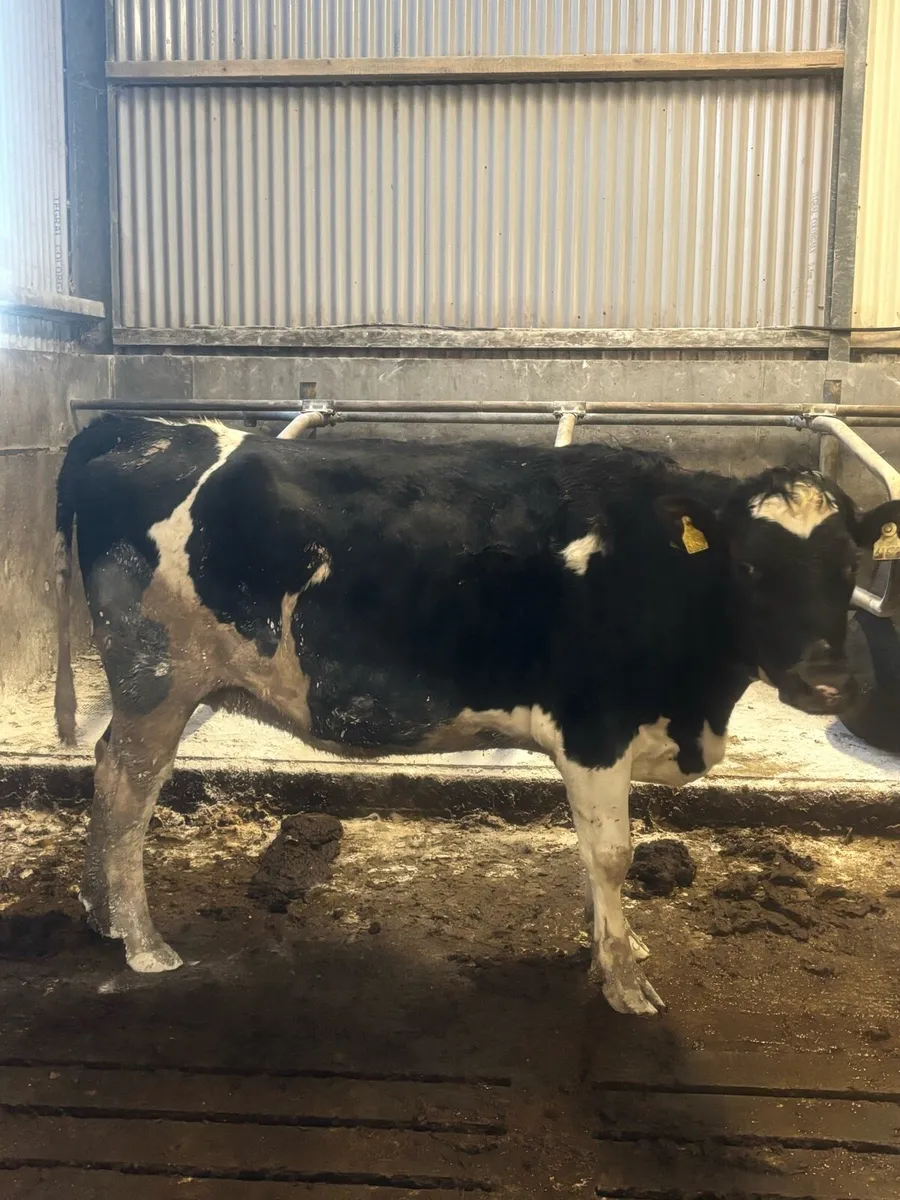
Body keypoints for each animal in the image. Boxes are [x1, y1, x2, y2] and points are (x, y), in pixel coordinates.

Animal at [54, 414, 900, 1016]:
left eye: (847, 568)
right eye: (750, 565)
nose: (827, 683)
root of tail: (141, 427)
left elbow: (592, 859)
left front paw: (611, 947)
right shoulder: (594, 728)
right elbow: (611, 856)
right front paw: (623, 981)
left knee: (106, 774)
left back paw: (100, 917)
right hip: (158, 682)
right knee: (126, 796)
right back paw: (141, 942)